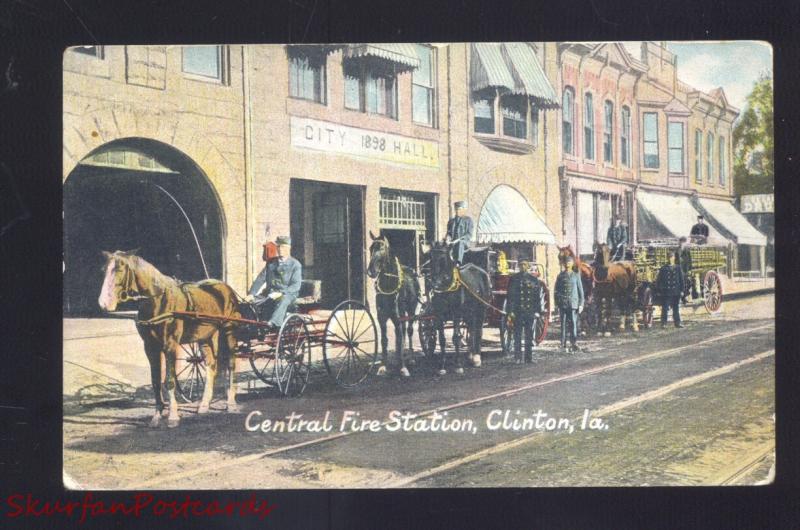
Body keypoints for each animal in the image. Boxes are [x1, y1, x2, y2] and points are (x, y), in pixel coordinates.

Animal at [99, 250, 241, 426]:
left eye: (119, 269)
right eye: (103, 270)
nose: (104, 303)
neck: (158, 301)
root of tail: (225, 287)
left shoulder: (170, 345)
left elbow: (169, 380)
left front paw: (173, 416)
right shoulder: (150, 347)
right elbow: (155, 381)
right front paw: (157, 415)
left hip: (229, 332)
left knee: (231, 364)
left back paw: (231, 403)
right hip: (205, 337)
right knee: (211, 365)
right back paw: (204, 405)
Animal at [368, 231, 422, 376]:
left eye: (381, 248)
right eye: (370, 248)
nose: (371, 271)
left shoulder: (398, 317)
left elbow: (400, 338)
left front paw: (403, 367)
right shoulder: (381, 318)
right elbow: (384, 340)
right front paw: (383, 366)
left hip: (411, 311)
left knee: (408, 331)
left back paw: (411, 358)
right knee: (402, 333)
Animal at [424, 241, 494, 374]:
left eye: (443, 259)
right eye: (430, 258)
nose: (434, 283)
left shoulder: (456, 314)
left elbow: (456, 337)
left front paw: (458, 365)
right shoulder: (438, 315)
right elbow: (442, 339)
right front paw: (442, 366)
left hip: (481, 309)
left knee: (478, 331)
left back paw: (477, 358)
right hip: (469, 312)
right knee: (471, 329)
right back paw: (471, 355)